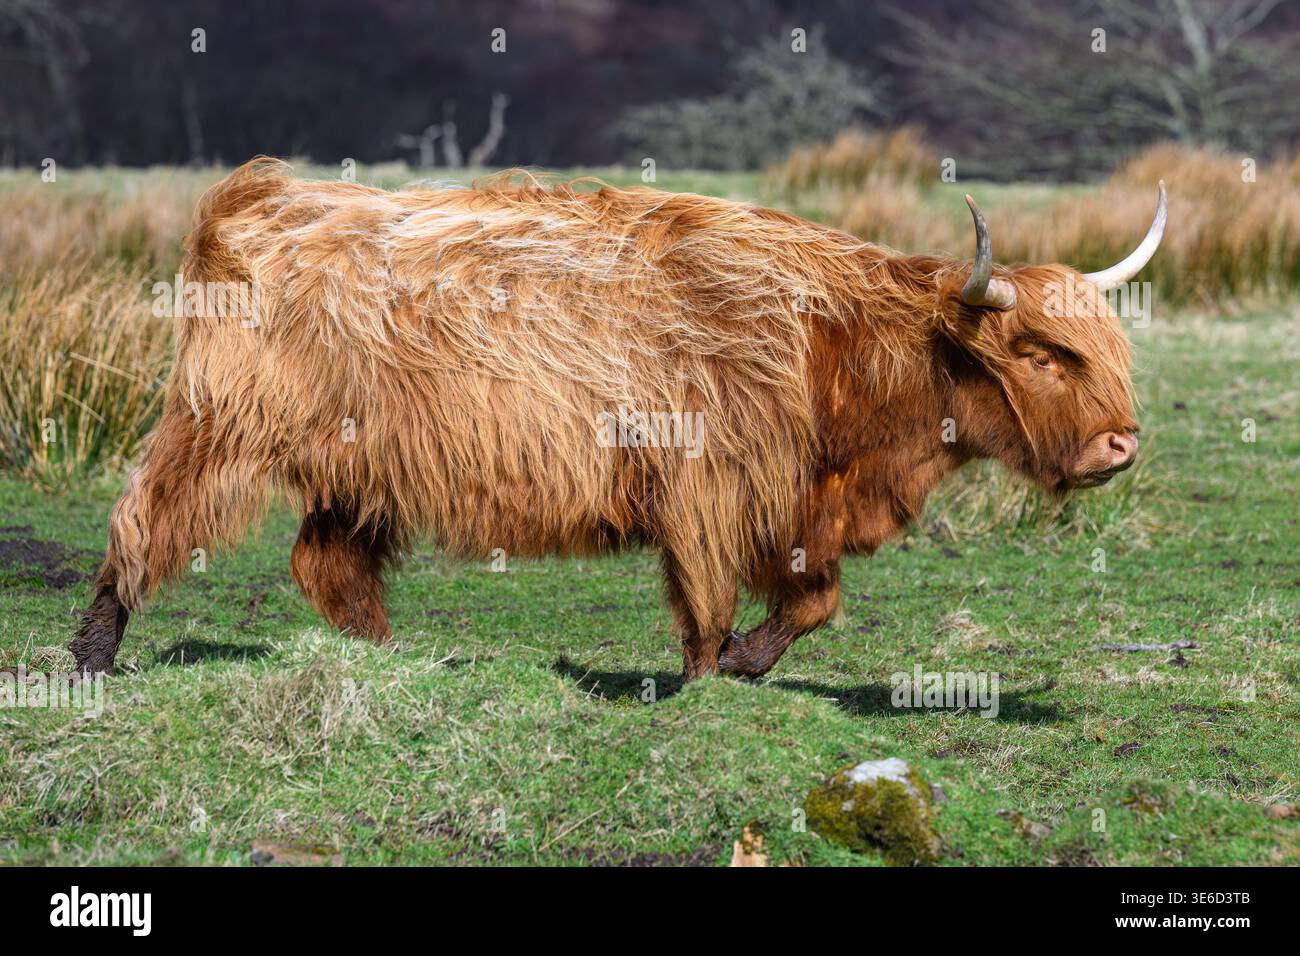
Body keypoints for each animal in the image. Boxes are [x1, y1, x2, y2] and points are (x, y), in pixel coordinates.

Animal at [70, 158, 1166, 680]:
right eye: (1040, 354)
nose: (1120, 443)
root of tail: (261, 198)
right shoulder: (706, 486)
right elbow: (707, 602)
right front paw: (705, 681)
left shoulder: (792, 505)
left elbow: (811, 602)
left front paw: (747, 662)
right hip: (216, 420)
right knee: (145, 518)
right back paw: (93, 651)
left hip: (359, 464)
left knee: (324, 563)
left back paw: (395, 659)